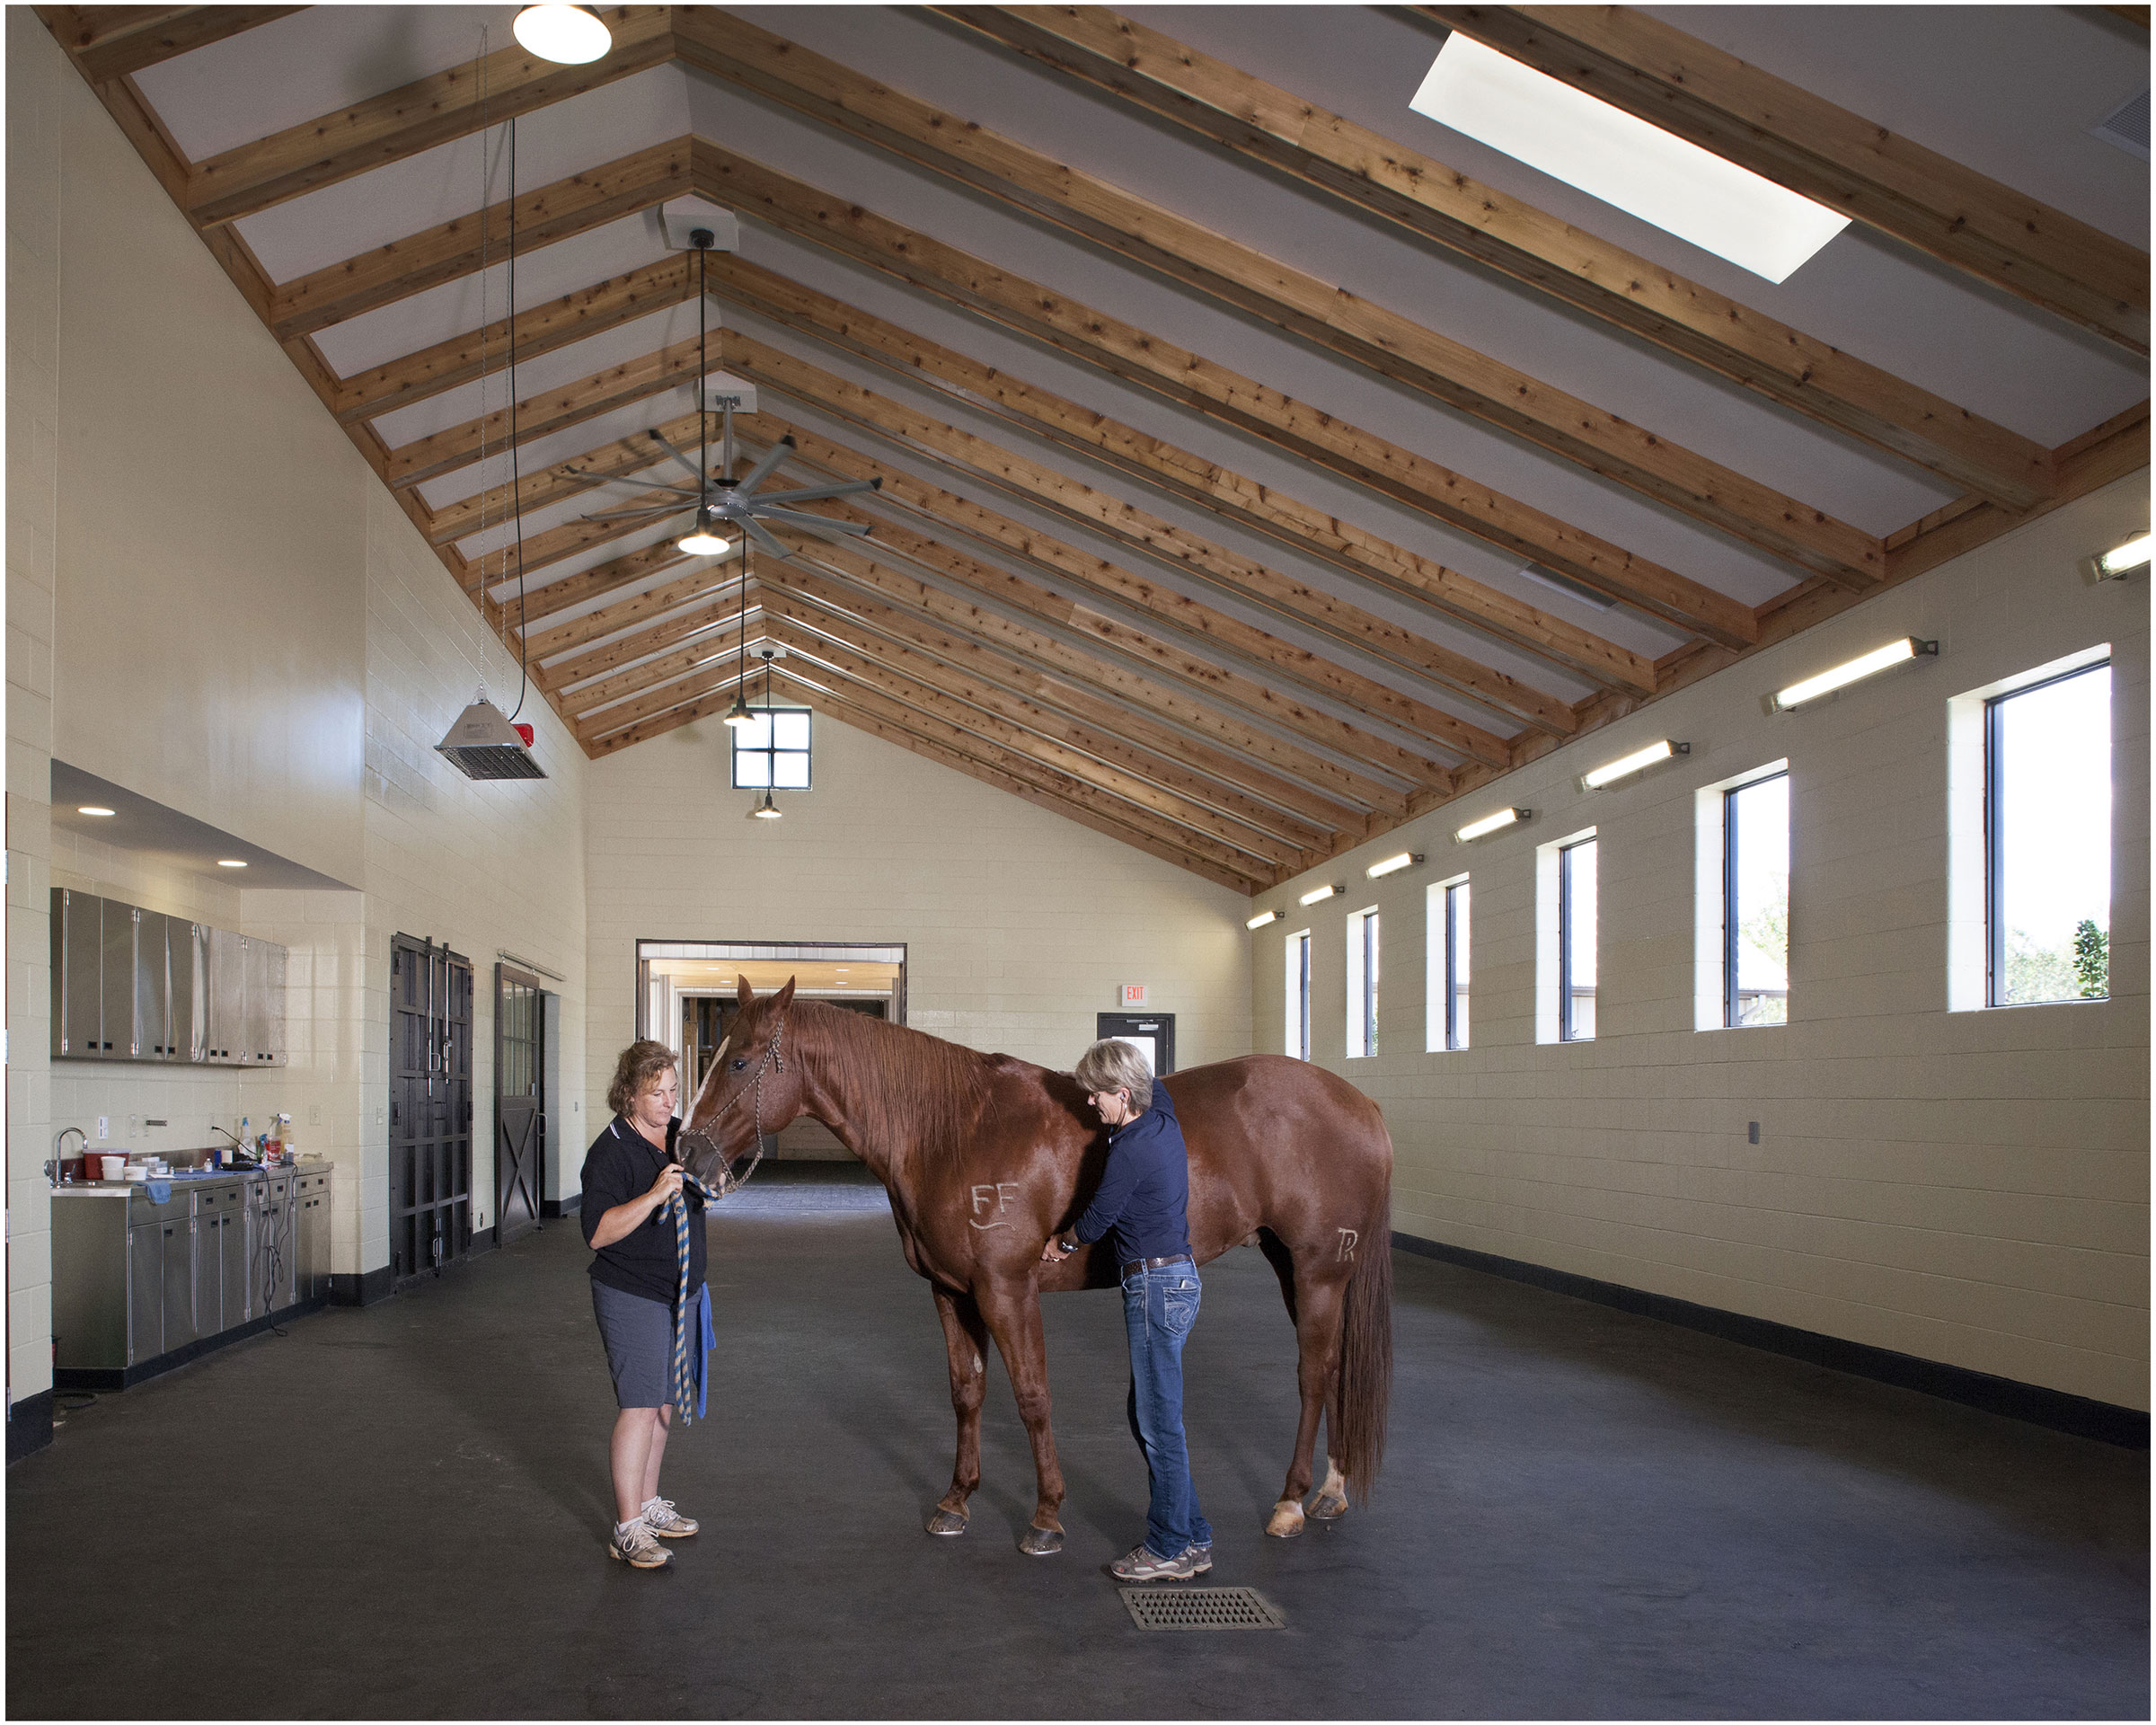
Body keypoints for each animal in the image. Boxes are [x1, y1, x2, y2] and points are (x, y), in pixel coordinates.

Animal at [685, 978, 1397, 1552]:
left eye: (740, 1060)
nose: (688, 1153)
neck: (953, 1131)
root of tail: (1361, 1105)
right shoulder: (951, 1293)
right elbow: (966, 1392)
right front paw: (955, 1502)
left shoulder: (1007, 1290)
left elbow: (1031, 1396)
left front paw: (1047, 1517)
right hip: (1293, 1269)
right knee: (1334, 1370)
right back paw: (1329, 1492)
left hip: (1319, 1271)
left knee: (1313, 1375)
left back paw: (1290, 1503)